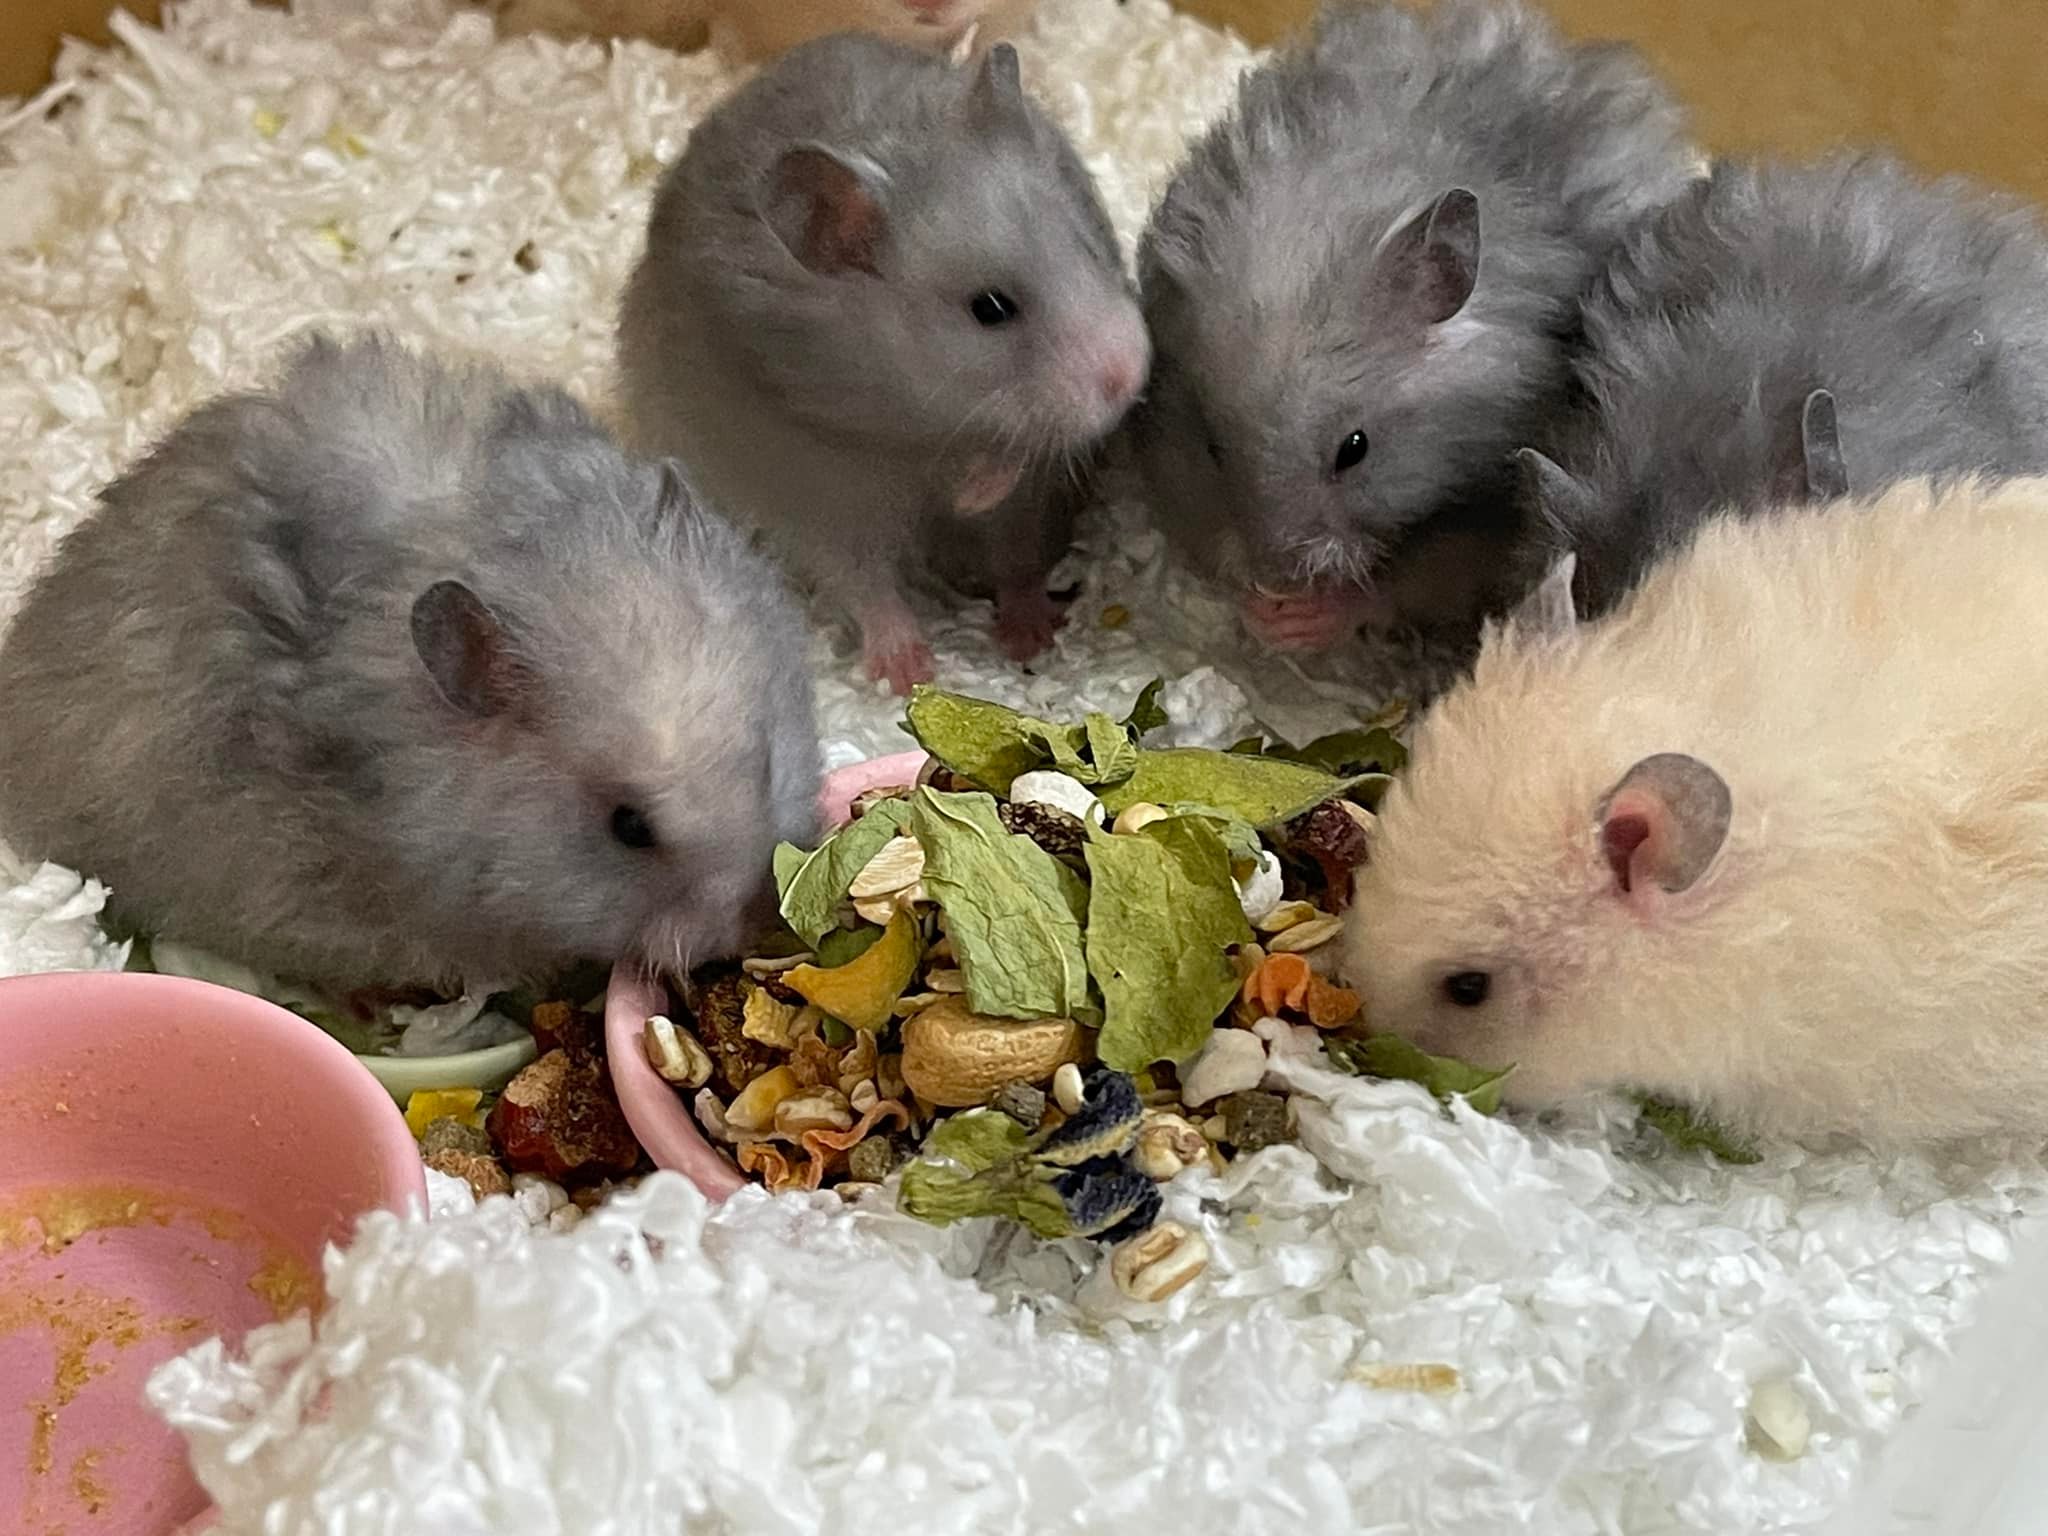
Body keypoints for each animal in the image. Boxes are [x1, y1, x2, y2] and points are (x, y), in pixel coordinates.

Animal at [617, 34, 1150, 693]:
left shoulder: (1029, 478)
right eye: (990, 309)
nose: (1131, 376)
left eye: (1087, 246)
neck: (912, 419)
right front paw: (907, 676)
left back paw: (1029, 633)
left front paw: (976, 490)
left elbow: (1016, 480)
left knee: (1017, 561)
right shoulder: (815, 477)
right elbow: (864, 583)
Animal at [1133, 0, 1698, 653]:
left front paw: (1301, 619)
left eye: (1355, 449)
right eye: (1212, 447)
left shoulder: (1499, 512)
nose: (1279, 577)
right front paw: (1257, 609)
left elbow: (1419, 577)